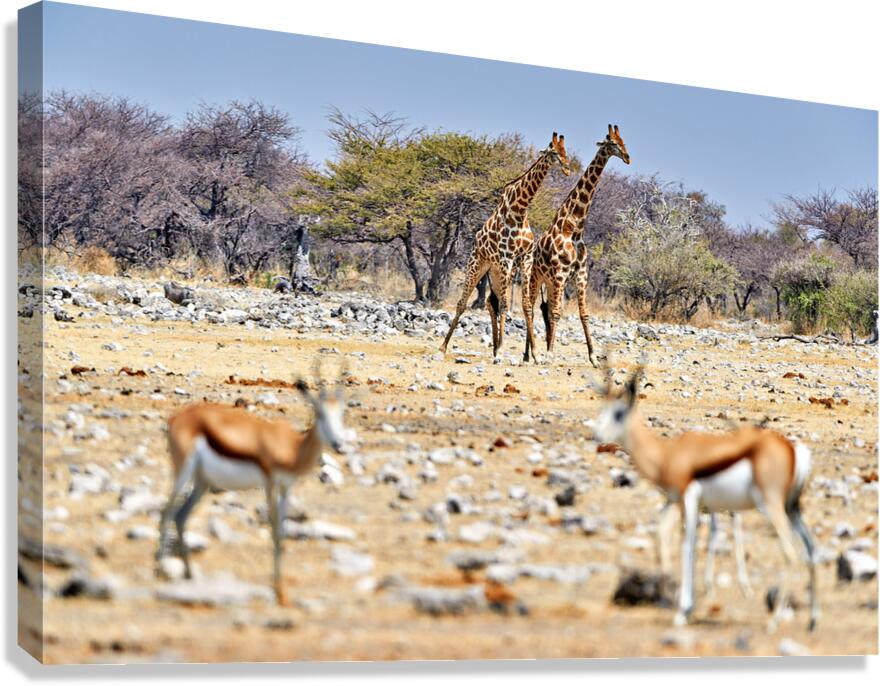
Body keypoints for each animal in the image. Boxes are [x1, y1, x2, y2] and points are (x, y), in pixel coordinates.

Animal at [440, 133, 570, 359]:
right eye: (554, 152)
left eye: (565, 150)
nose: (567, 167)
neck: (520, 209)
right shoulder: (506, 258)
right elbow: (505, 305)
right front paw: (501, 349)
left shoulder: (524, 259)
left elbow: (525, 305)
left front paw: (535, 353)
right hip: (478, 264)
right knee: (464, 303)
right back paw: (444, 347)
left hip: (495, 271)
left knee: (490, 302)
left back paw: (493, 347)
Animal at [524, 124, 630, 366]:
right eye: (612, 142)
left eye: (624, 141)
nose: (628, 158)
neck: (574, 229)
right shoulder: (560, 273)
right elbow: (556, 313)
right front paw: (549, 354)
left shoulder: (580, 275)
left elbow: (583, 314)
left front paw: (593, 357)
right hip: (537, 278)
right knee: (532, 307)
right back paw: (529, 354)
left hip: (550, 283)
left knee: (544, 308)